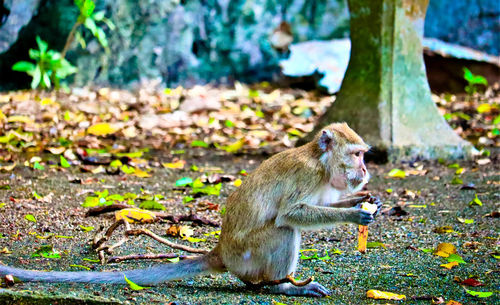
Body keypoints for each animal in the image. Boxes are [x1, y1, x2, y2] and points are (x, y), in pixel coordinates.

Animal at [0, 121, 382, 296]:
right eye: (357, 155)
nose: (365, 171)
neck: (321, 162)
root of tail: (222, 252)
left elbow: (323, 203)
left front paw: (365, 201)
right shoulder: (307, 174)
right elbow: (291, 214)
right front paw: (355, 213)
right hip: (249, 254)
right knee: (284, 230)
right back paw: (282, 287)